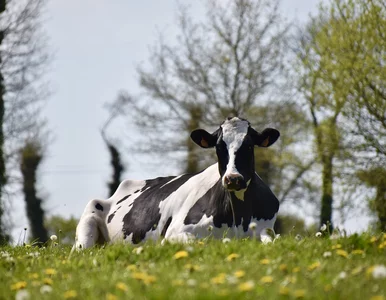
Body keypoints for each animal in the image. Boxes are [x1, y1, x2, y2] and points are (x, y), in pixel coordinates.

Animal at [74, 116, 280, 250]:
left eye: (249, 145)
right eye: (219, 147)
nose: (233, 178)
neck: (239, 218)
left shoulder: (266, 230)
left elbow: (273, 242)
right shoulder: (174, 232)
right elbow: (197, 242)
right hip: (86, 226)